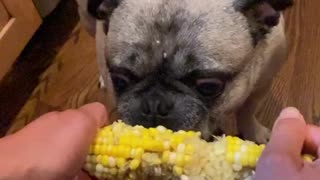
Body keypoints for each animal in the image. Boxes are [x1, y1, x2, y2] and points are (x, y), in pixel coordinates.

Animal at [74, 0, 292, 143]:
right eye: (119, 80)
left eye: (209, 86)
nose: (154, 104)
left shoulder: (263, 82)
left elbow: (247, 109)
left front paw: (252, 132)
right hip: (87, 20)